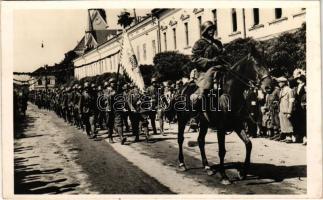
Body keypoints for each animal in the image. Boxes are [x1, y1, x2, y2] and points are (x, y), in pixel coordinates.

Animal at [175, 52, 274, 185]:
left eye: (267, 63)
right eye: (257, 64)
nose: (269, 87)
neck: (229, 93)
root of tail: (182, 88)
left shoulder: (237, 125)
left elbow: (248, 144)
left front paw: (242, 173)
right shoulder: (221, 129)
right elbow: (222, 151)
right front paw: (224, 176)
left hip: (204, 123)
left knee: (200, 140)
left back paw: (207, 167)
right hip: (182, 119)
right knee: (180, 139)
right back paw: (182, 164)